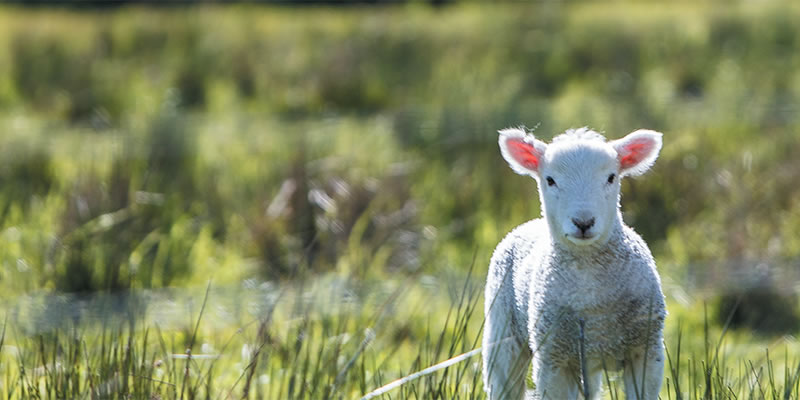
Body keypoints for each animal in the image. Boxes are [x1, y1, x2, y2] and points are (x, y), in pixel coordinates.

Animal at [482, 128, 668, 400]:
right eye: (550, 180)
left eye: (611, 177)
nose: (583, 222)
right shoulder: (553, 359)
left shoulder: (645, 350)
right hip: (503, 333)